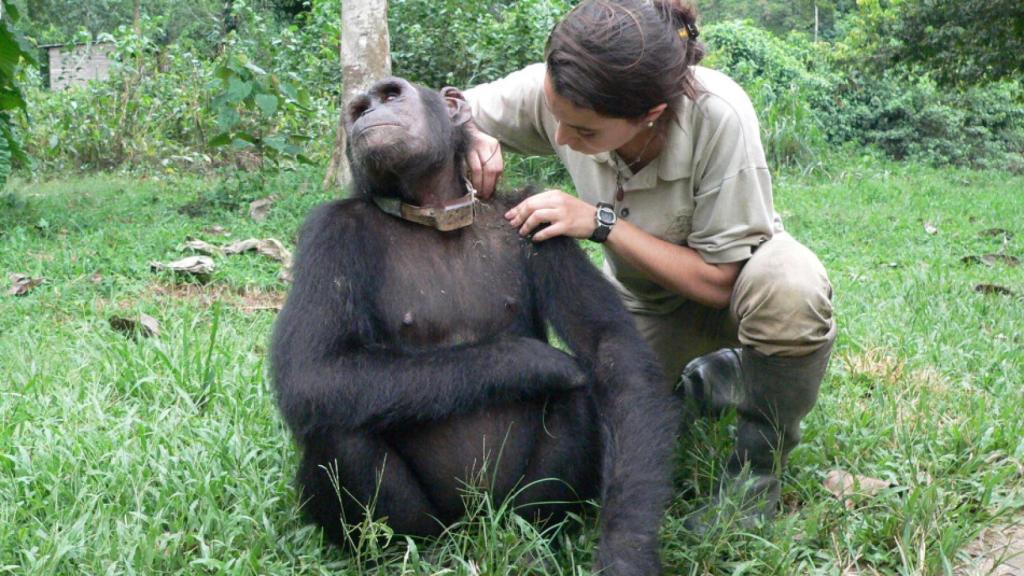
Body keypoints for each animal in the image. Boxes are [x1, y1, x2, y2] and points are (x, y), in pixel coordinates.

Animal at [270, 77, 679, 573]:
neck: (435, 213)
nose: (366, 114)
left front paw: (627, 549)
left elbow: (610, 348)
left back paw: (536, 540)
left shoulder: (539, 217)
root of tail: (471, 524)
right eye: (358, 107)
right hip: (428, 524)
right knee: (336, 421)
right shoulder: (328, 233)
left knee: (577, 400)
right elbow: (312, 369)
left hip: (511, 506)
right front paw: (532, 361)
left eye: (390, 95)